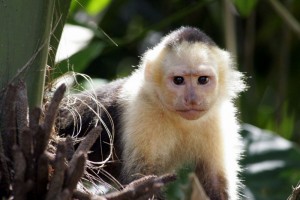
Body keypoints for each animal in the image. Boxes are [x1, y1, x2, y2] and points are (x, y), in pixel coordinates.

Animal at [58, 27, 246, 200]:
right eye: (179, 80)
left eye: (203, 80)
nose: (192, 99)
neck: (178, 118)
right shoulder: (142, 110)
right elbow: (143, 179)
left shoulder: (220, 116)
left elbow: (215, 182)